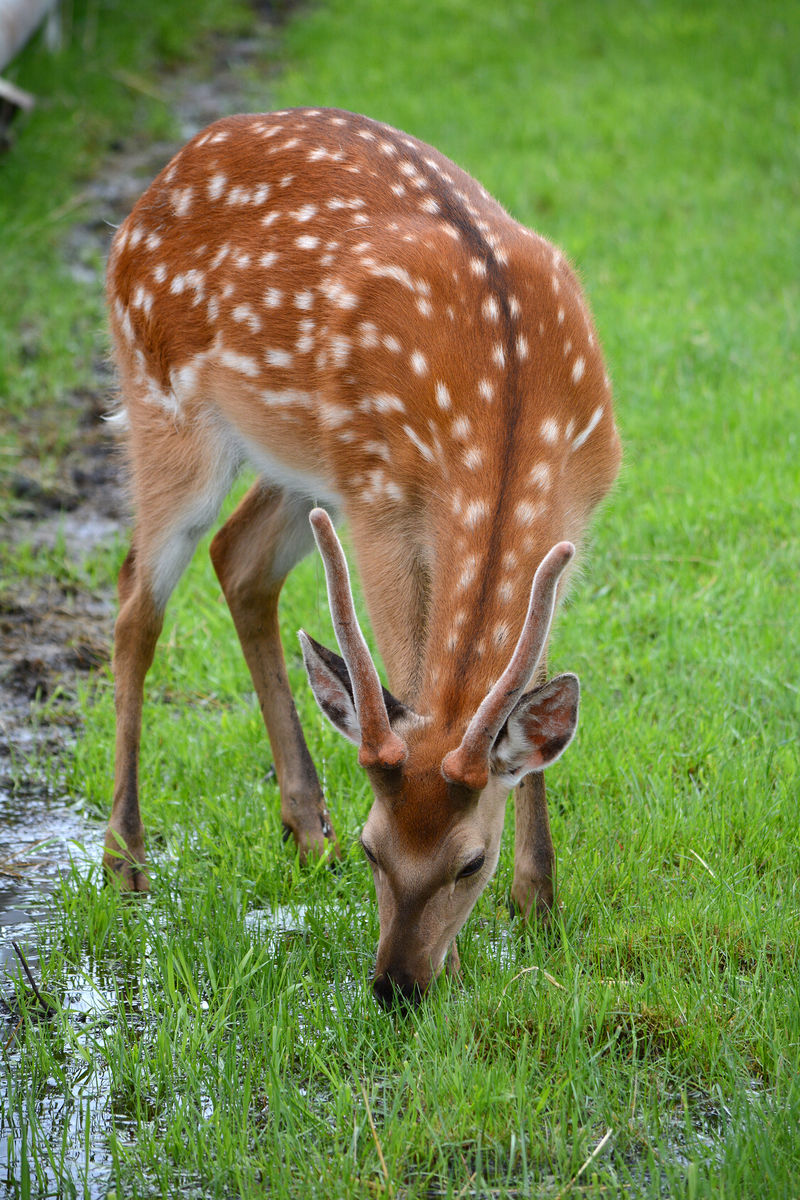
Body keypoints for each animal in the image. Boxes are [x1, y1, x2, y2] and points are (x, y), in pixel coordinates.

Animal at [103, 103, 623, 1008]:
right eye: (379, 848)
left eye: (471, 864)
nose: (396, 985)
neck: (511, 408)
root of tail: (155, 186)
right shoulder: (381, 504)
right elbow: (408, 676)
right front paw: (478, 950)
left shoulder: (577, 516)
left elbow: (524, 691)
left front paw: (538, 902)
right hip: (162, 403)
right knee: (138, 598)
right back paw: (126, 859)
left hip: (300, 460)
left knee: (239, 560)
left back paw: (306, 828)